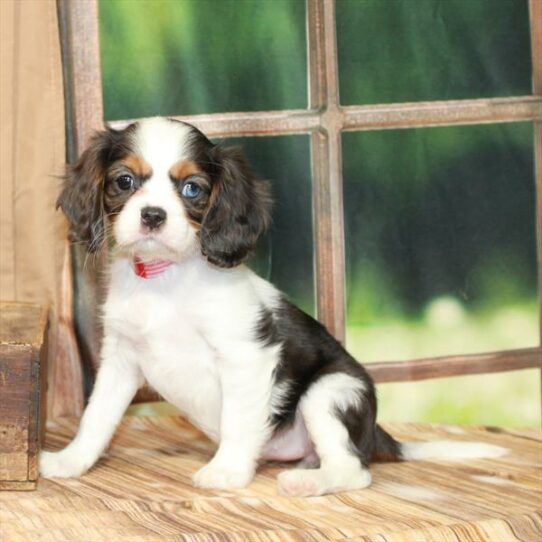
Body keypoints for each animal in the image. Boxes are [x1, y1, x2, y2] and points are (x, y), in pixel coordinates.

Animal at [40, 119, 508, 498]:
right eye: (124, 181)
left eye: (192, 188)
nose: (153, 215)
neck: (166, 280)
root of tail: (375, 434)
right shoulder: (121, 360)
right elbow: (97, 417)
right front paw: (70, 461)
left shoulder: (246, 355)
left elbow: (238, 420)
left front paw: (227, 471)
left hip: (330, 393)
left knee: (355, 470)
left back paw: (307, 482)